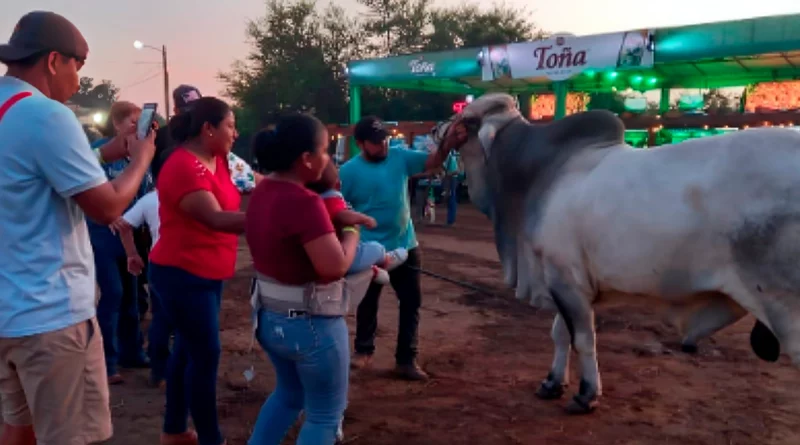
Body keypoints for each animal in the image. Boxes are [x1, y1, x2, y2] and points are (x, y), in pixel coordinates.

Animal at [434, 93, 800, 412]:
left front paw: (586, 395)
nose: (437, 129)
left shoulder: (566, 281)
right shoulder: (564, 280)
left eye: (467, 119)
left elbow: (583, 340)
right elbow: (559, 334)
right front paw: (552, 383)